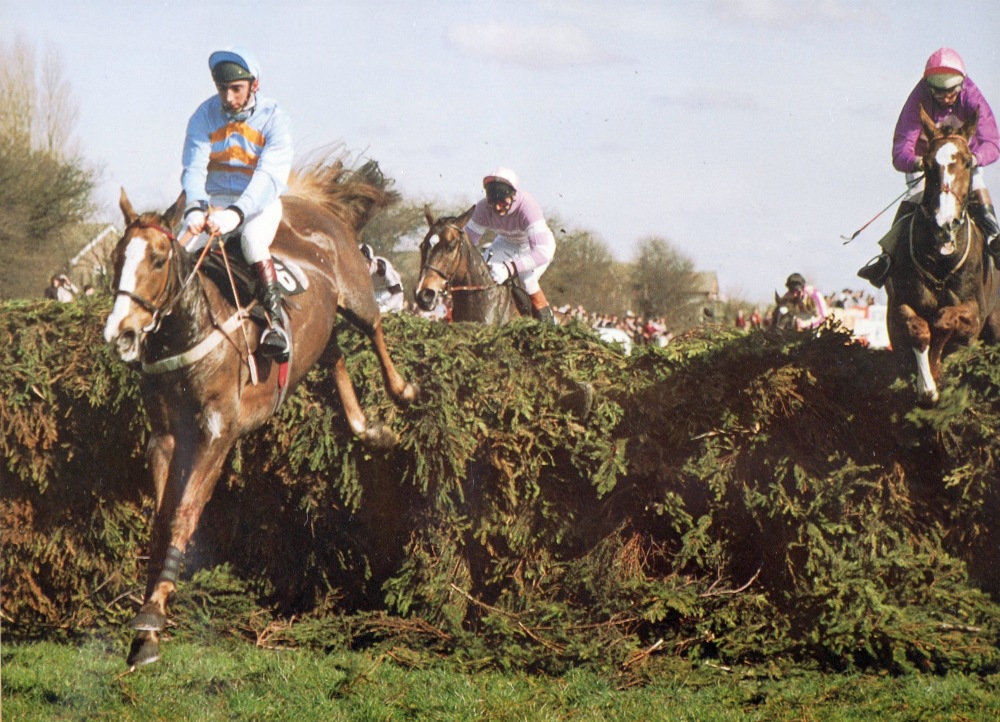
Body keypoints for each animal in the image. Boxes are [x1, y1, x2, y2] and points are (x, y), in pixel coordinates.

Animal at [107, 155, 420, 668]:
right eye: (117, 259)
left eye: (157, 259)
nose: (121, 332)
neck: (192, 332)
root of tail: (310, 204)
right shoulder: (166, 437)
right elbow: (160, 522)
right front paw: (147, 632)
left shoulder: (218, 433)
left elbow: (183, 516)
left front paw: (152, 616)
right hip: (320, 328)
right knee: (334, 355)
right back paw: (368, 429)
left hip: (355, 292)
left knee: (373, 328)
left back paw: (402, 391)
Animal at [888, 107, 1000, 402]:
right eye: (927, 165)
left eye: (968, 163)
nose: (945, 222)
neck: (941, 259)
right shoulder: (899, 304)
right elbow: (918, 328)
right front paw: (926, 386)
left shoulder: (974, 313)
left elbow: (943, 321)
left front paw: (935, 371)